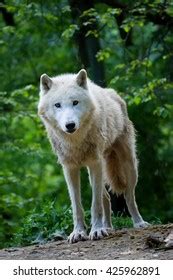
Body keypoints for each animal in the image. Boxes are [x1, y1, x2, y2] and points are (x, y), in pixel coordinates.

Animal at [38, 68, 149, 243]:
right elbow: (77, 206)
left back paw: (138, 223)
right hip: (98, 172)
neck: (75, 141)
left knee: (128, 196)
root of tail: (112, 92)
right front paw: (78, 233)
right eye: (57, 105)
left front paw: (96, 231)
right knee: (107, 198)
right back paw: (108, 227)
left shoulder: (94, 163)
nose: (70, 125)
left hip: (128, 165)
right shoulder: (69, 168)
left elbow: (95, 204)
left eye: (75, 102)